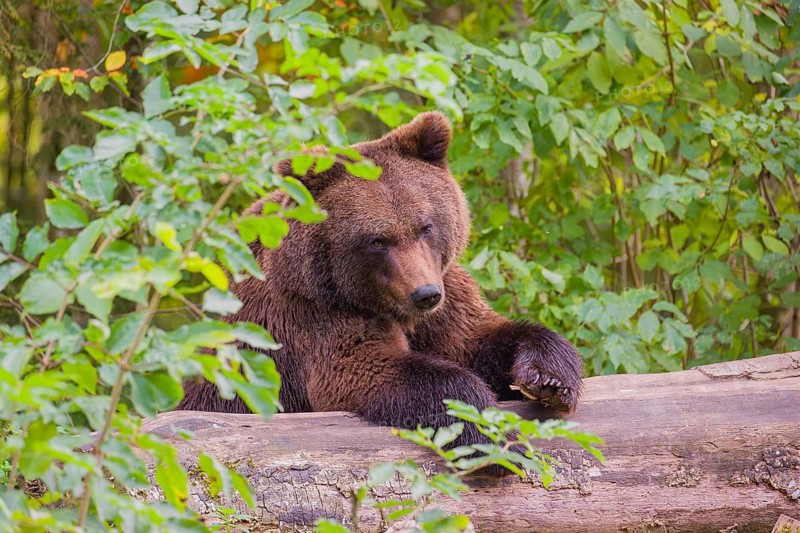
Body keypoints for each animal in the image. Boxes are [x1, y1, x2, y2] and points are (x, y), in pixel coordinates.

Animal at [177, 111, 583, 454]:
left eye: (425, 226)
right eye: (377, 240)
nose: (425, 294)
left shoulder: (445, 301)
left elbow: (479, 338)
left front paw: (550, 378)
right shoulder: (313, 319)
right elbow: (370, 371)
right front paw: (494, 434)